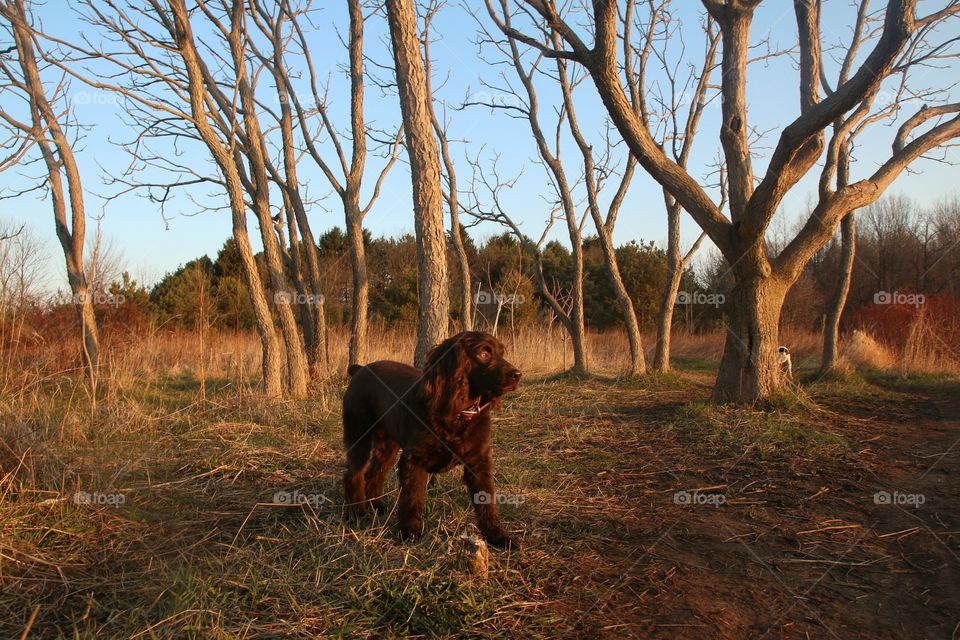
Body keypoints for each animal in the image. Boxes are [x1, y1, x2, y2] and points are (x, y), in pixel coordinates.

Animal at [342, 332, 520, 548]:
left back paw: (376, 506)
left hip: (387, 446)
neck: (457, 413)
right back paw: (356, 513)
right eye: (483, 354)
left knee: (375, 472)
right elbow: (412, 498)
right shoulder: (414, 461)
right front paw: (410, 533)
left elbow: (486, 501)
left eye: (502, 353)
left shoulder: (479, 463)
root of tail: (359, 369)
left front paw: (499, 537)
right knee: (354, 474)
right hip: (359, 436)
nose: (517, 374)